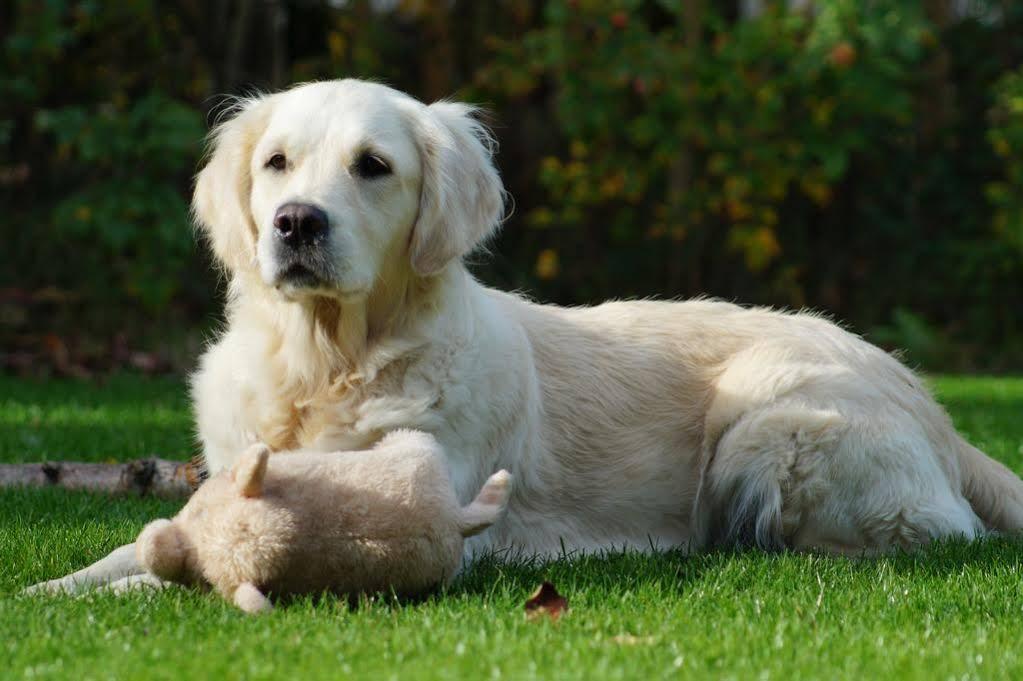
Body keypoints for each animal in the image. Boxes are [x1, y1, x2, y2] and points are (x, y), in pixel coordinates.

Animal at [29, 76, 1023, 593]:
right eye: (276, 162)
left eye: (373, 166)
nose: (297, 222)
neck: (328, 360)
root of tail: (930, 404)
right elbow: (125, 551)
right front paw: (49, 593)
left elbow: (172, 569)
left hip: (769, 424)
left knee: (936, 533)